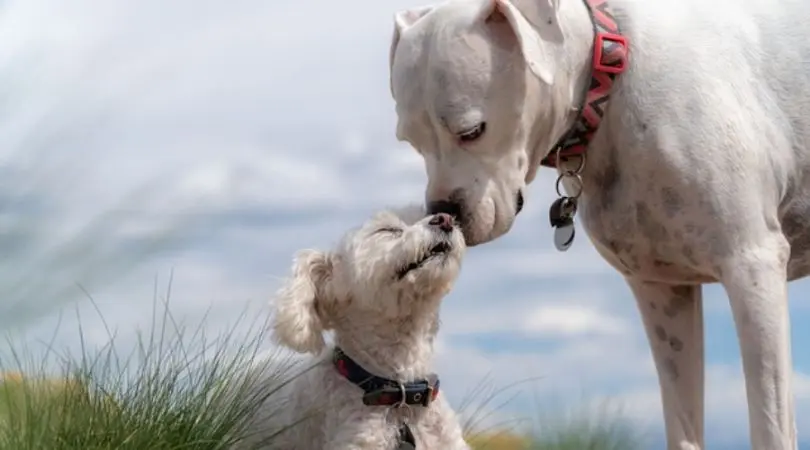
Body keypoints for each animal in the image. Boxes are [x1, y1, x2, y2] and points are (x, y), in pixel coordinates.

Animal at [388, 0, 804, 450]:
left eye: (472, 131)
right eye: (411, 142)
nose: (443, 211)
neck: (609, 77)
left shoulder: (752, 267)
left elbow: (771, 424)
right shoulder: (663, 293)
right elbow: (683, 423)